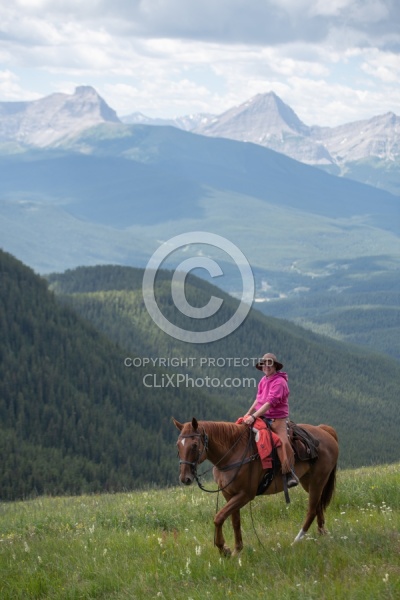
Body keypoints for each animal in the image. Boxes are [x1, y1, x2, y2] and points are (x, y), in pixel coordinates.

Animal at [173, 414, 340, 556]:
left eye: (194, 445)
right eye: (178, 445)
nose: (185, 478)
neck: (233, 453)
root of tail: (325, 431)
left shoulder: (245, 495)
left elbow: (219, 517)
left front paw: (223, 549)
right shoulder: (229, 494)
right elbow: (235, 521)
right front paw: (237, 550)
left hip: (318, 480)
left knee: (311, 510)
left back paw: (297, 540)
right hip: (308, 481)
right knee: (318, 506)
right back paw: (321, 534)